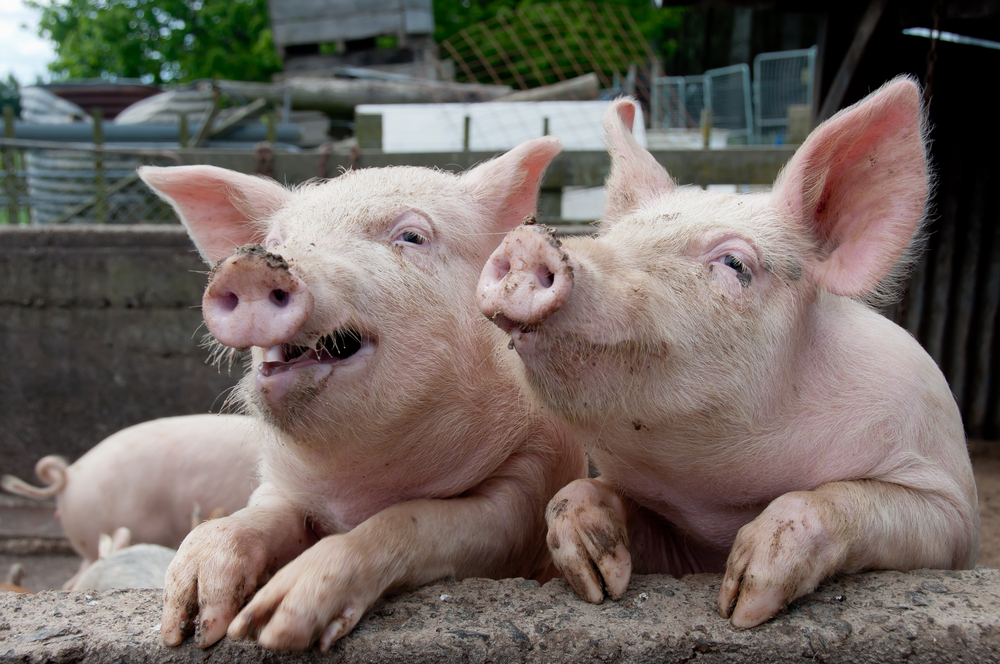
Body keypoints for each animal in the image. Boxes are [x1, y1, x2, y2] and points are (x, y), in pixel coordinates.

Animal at [137, 138, 587, 652]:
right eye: (275, 242)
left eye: (412, 236)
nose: (247, 266)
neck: (358, 484)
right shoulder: (281, 486)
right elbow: (257, 516)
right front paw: (191, 625)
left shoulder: (527, 487)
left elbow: (419, 521)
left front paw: (273, 624)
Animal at [476, 78, 980, 628]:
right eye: (613, 237)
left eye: (735, 263)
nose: (528, 241)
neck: (721, 498)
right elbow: (573, 496)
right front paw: (599, 583)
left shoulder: (949, 508)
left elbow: (843, 499)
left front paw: (741, 606)